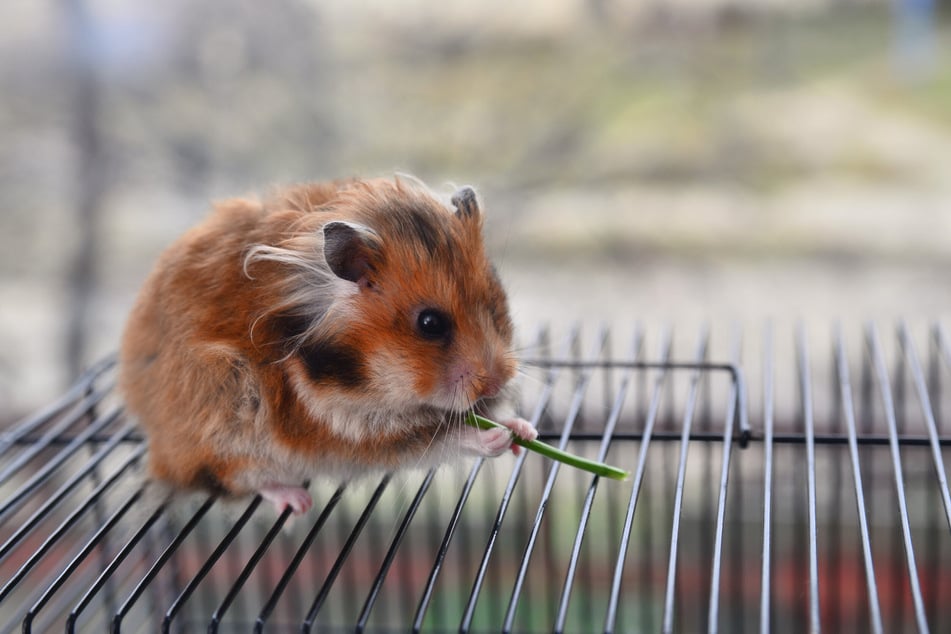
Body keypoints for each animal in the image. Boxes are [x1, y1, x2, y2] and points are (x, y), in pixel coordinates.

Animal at [118, 175, 536, 512]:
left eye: (495, 304)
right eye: (430, 324)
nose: (497, 382)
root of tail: (158, 448)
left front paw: (524, 432)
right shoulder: (346, 428)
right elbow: (438, 438)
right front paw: (498, 438)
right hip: (227, 425)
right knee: (237, 476)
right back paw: (298, 501)